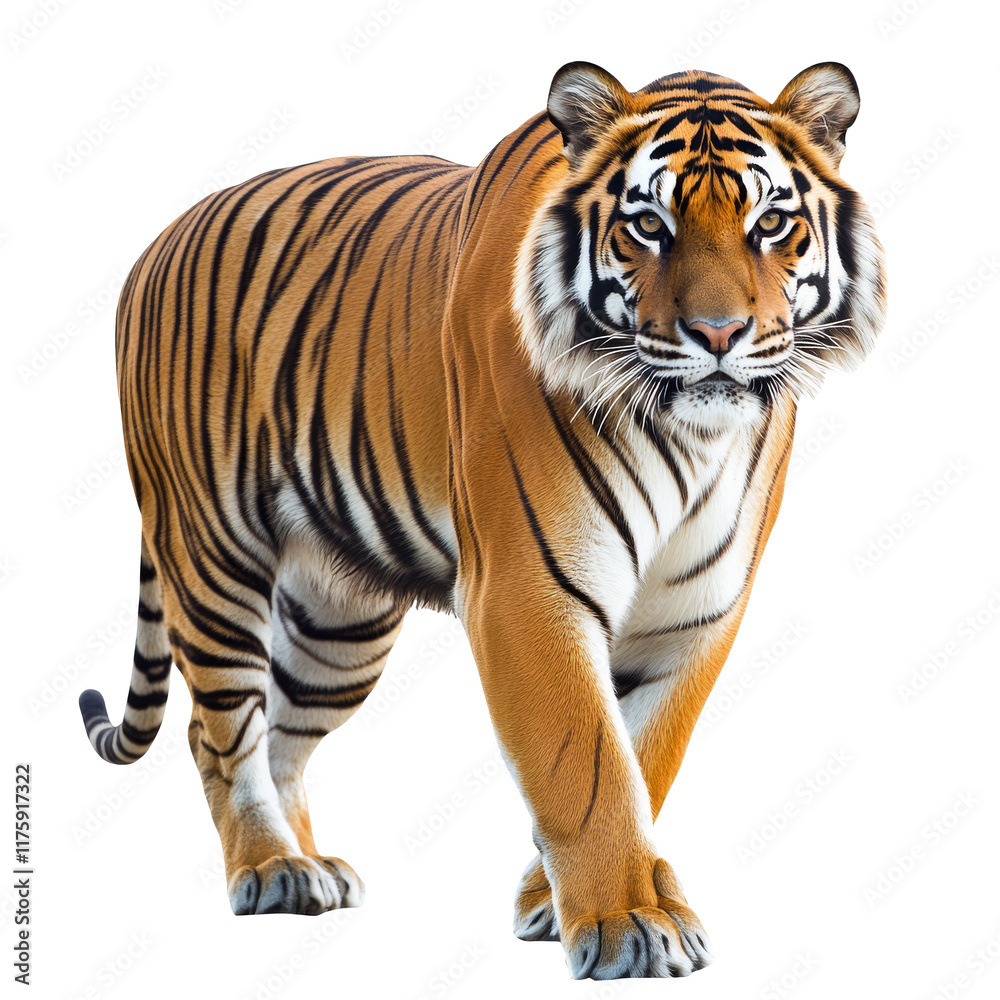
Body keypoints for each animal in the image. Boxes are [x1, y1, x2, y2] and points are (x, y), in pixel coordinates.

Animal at [78, 60, 886, 980]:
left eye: (771, 223)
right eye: (648, 225)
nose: (718, 334)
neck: (689, 436)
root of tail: (154, 244)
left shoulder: (696, 612)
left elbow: (645, 758)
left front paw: (562, 900)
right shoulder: (527, 591)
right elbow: (586, 762)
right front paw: (626, 922)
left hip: (336, 624)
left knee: (282, 734)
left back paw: (311, 865)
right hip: (213, 557)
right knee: (217, 731)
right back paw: (269, 866)